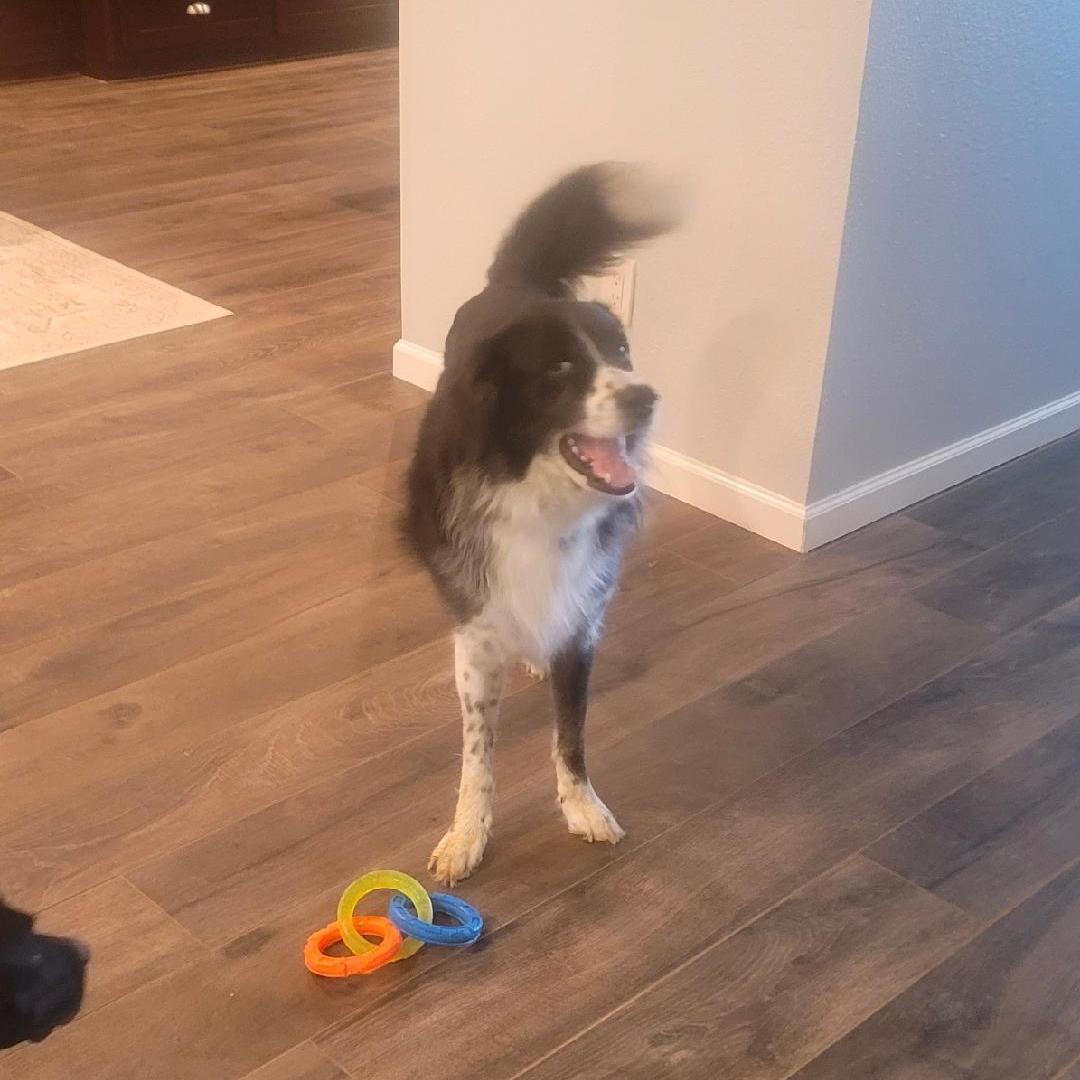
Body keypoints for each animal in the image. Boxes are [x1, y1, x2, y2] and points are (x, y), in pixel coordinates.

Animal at [404, 162, 680, 885]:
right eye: (559, 369)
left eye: (621, 352)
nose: (647, 398)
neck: (538, 494)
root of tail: (516, 285)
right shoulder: (475, 635)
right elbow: (478, 754)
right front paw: (467, 834)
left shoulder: (581, 619)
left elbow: (572, 732)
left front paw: (582, 807)